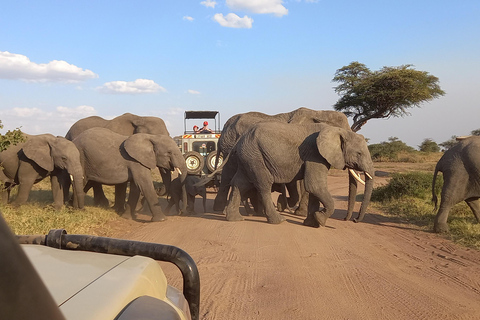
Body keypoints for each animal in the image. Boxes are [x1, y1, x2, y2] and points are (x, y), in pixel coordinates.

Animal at [214, 107, 352, 215]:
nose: (348, 219)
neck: (317, 112)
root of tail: (225, 126)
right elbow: (295, 182)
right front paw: (289, 207)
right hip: (232, 145)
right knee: (229, 174)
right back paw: (223, 210)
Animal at [219, 121, 374, 226]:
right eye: (359, 154)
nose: (352, 220)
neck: (338, 130)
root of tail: (241, 138)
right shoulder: (315, 155)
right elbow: (315, 186)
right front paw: (320, 219)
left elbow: (314, 189)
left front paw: (312, 223)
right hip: (255, 156)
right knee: (263, 185)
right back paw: (279, 220)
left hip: (248, 157)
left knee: (240, 183)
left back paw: (235, 219)